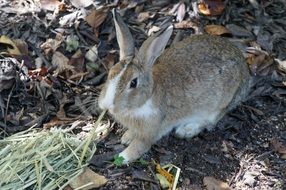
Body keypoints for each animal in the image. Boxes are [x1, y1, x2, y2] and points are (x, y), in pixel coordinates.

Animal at [98, 9, 250, 163]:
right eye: (110, 72)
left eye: (133, 83)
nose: (106, 105)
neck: (146, 99)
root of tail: (245, 71)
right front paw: (126, 137)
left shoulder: (151, 131)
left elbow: (140, 146)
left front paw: (123, 157)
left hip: (218, 104)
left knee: (210, 121)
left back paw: (186, 130)